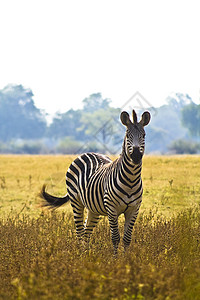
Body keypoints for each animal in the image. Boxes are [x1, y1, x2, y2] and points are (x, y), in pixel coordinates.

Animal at [40, 109, 150, 254]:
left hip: (93, 208)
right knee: (79, 232)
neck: (131, 180)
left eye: (143, 135)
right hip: (76, 202)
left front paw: (126, 258)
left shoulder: (134, 209)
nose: (136, 156)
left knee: (86, 232)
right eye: (128, 135)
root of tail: (87, 153)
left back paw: (87, 255)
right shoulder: (112, 209)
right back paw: (80, 255)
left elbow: (127, 238)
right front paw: (116, 259)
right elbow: (115, 237)